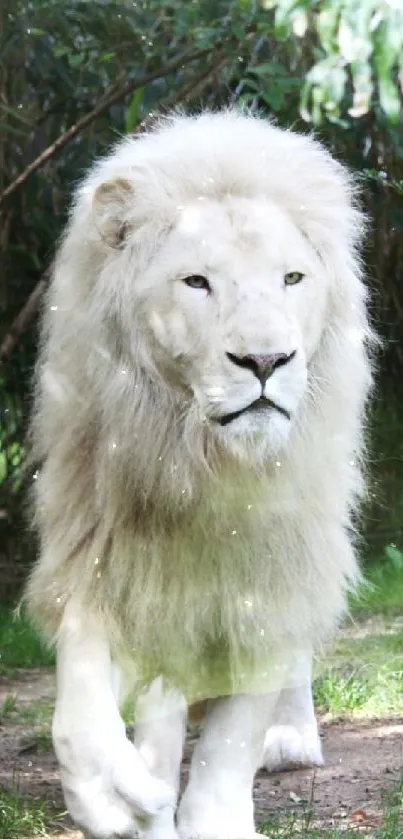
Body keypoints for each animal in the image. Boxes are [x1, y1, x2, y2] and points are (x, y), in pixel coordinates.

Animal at [24, 110, 372, 839]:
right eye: (196, 283)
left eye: (292, 279)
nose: (265, 360)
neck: (204, 463)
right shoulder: (100, 543)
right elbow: (81, 695)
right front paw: (114, 797)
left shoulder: (271, 566)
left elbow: (232, 736)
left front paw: (214, 818)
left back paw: (290, 740)